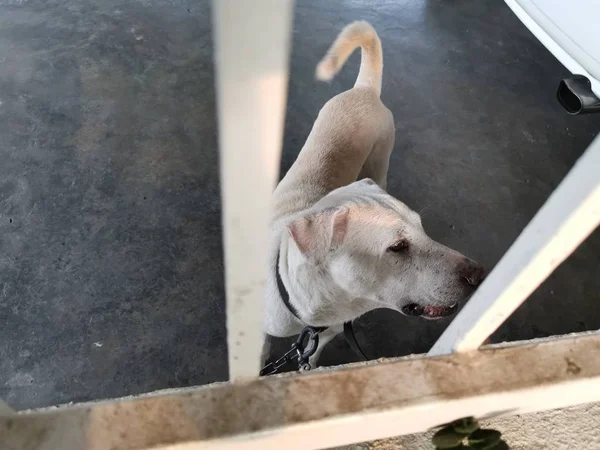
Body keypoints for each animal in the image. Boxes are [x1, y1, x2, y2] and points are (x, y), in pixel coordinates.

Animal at [262, 21, 482, 370]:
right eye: (398, 247)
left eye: (422, 228)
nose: (478, 274)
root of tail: (364, 90)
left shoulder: (326, 334)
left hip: (381, 159)